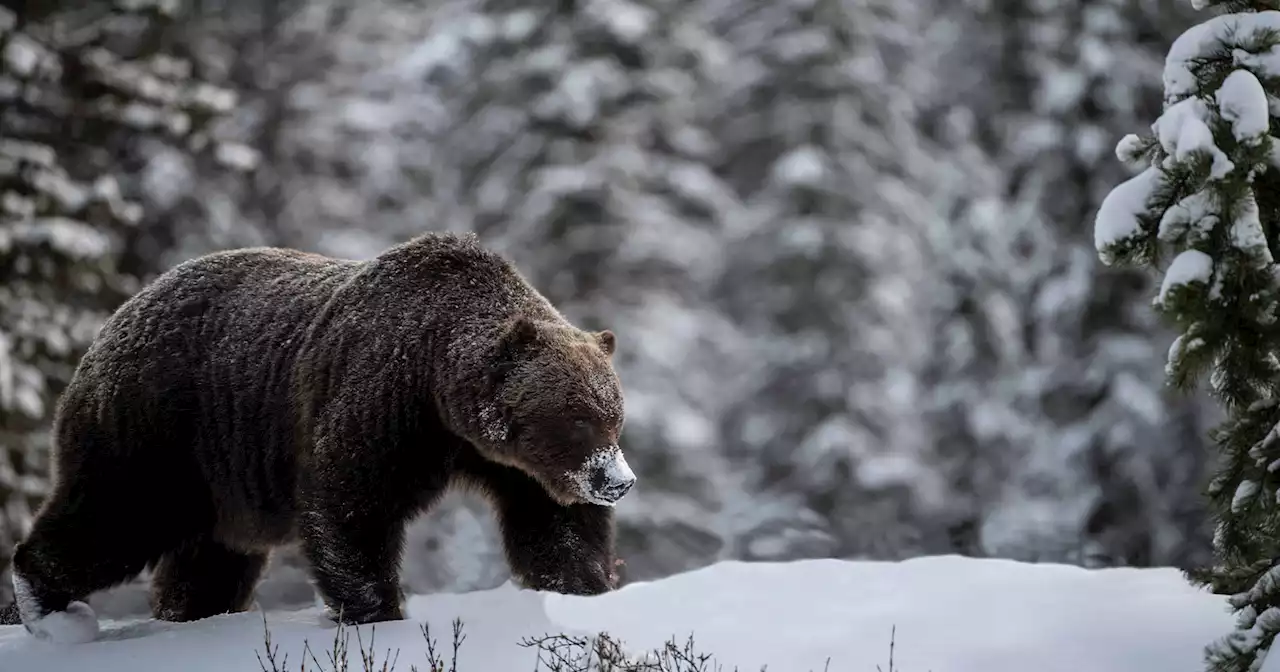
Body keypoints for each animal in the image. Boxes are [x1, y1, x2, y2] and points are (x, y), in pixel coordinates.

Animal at [0, 232, 634, 642]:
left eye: (614, 415)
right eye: (578, 416)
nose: (618, 480)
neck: (437, 384)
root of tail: (111, 324)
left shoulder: (506, 461)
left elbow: (554, 526)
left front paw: (586, 591)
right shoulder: (380, 401)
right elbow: (350, 504)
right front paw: (379, 612)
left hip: (219, 482)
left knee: (207, 562)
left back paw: (190, 614)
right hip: (159, 427)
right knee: (114, 514)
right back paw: (48, 608)